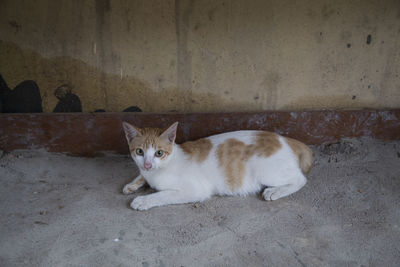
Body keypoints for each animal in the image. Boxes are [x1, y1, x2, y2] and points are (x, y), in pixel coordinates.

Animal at [122, 122, 312, 211]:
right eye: (139, 151)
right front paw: (131, 185)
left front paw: (143, 200)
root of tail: (285, 139)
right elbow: (141, 175)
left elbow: (163, 194)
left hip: (266, 171)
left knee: (300, 179)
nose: (147, 164)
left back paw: (275, 191)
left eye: (159, 153)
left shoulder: (195, 189)